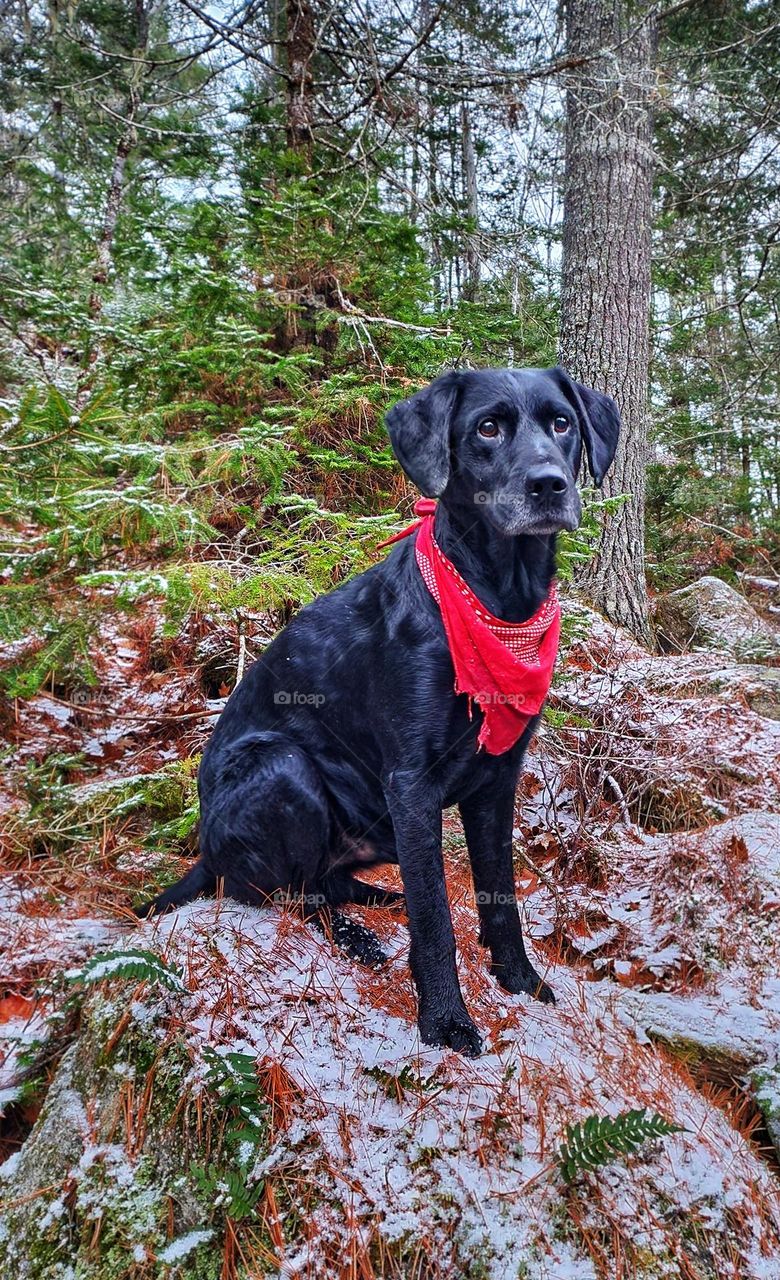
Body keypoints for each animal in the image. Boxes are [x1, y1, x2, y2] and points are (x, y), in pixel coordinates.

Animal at [138, 366, 614, 1054]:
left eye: (562, 423)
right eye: (487, 428)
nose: (550, 484)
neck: (495, 597)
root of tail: (205, 848)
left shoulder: (497, 778)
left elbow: (499, 894)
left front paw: (519, 980)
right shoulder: (411, 783)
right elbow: (435, 920)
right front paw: (445, 1022)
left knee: (325, 881)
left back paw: (376, 902)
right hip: (286, 767)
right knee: (278, 893)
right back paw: (356, 935)